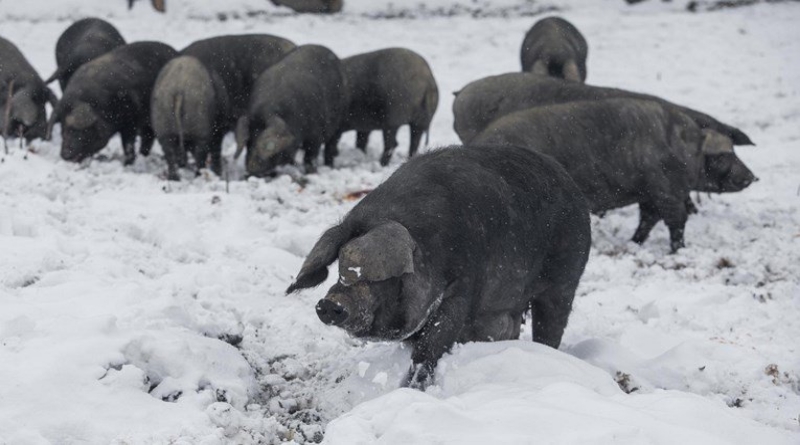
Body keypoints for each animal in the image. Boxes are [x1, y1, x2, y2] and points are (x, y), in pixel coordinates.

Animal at [47, 40, 177, 163]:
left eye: (76, 131)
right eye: (63, 130)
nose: (65, 155)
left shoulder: (131, 121)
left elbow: (128, 144)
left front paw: (127, 163)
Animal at [231, 45, 344, 176]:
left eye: (267, 145)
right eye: (248, 141)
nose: (252, 167)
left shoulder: (315, 134)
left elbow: (310, 156)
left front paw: (311, 173)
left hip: (339, 121)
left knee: (330, 146)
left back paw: (329, 166)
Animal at [284, 144, 592, 386]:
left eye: (380, 278)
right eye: (339, 269)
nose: (330, 303)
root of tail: (574, 189)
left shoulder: (463, 287)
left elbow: (431, 346)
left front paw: (412, 388)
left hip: (564, 280)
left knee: (551, 324)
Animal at [472, 100, 760, 251]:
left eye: (734, 151)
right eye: (723, 156)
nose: (752, 177)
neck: (686, 149)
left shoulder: (650, 193)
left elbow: (648, 219)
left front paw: (634, 244)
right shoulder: (666, 188)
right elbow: (676, 220)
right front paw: (677, 251)